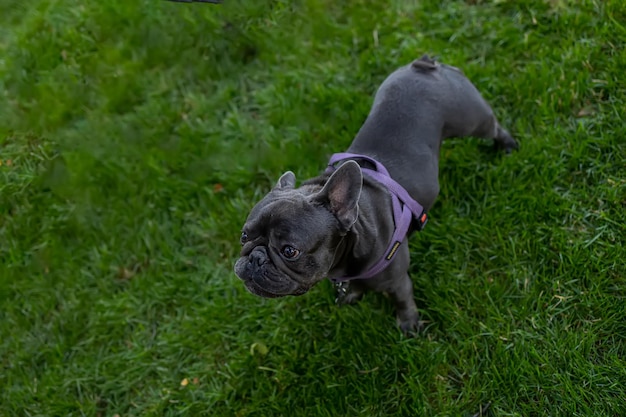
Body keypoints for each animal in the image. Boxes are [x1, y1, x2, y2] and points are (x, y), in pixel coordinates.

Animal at [232, 56, 516, 334]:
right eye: (244, 235)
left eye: (290, 251)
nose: (255, 257)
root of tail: (424, 65)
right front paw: (353, 294)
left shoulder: (397, 281)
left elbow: (403, 301)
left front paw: (409, 326)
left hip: (470, 119)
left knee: (492, 126)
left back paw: (507, 146)